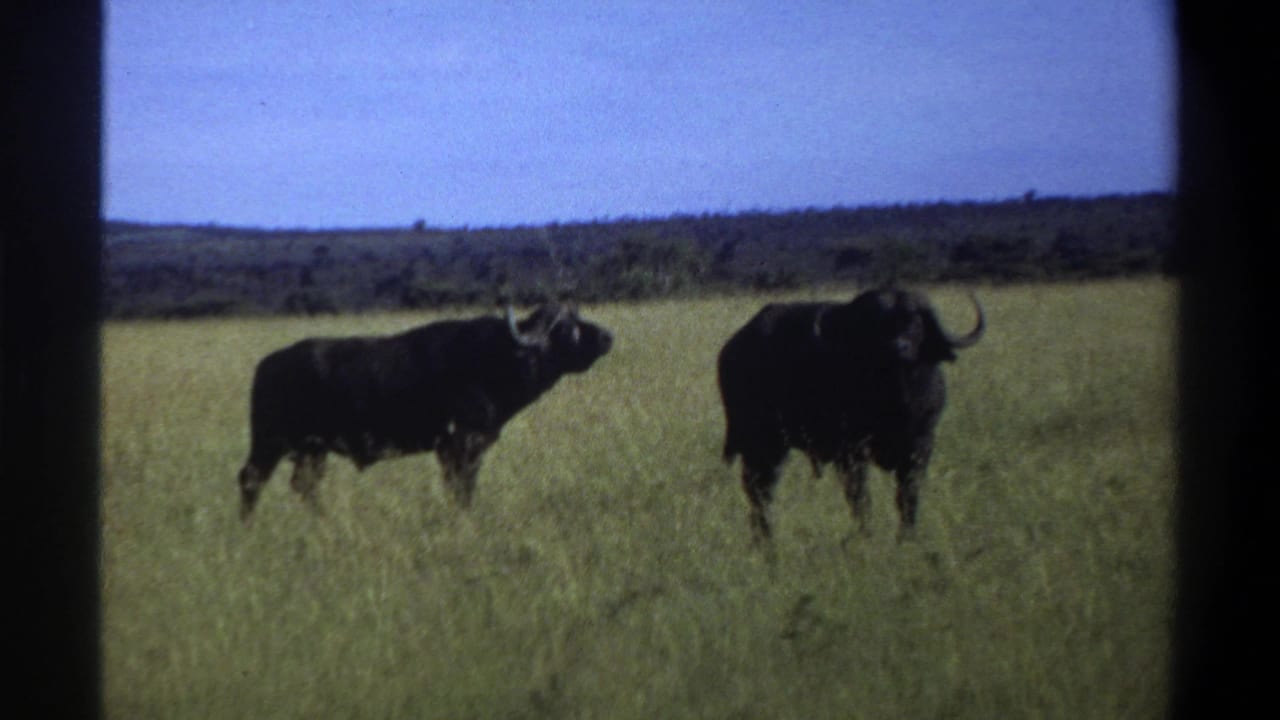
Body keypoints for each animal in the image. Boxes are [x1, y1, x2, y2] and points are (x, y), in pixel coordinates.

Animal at [237, 302, 613, 521]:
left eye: (578, 318)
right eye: (566, 328)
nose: (607, 336)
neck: (499, 357)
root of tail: (267, 366)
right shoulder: (461, 446)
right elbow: (462, 489)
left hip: (311, 451)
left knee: (304, 486)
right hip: (270, 442)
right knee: (251, 479)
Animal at [717, 288, 984, 542]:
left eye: (915, 321)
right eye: (876, 323)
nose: (898, 348)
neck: (895, 400)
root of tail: (732, 348)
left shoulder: (921, 446)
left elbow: (908, 495)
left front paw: (907, 537)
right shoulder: (851, 452)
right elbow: (860, 498)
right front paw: (866, 535)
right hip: (763, 445)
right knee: (759, 489)